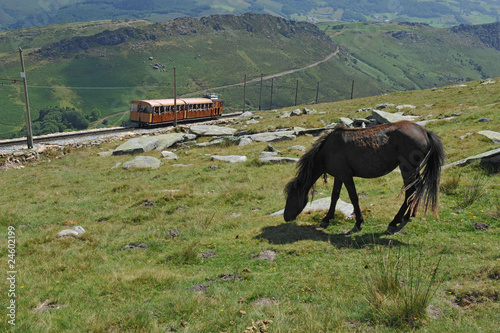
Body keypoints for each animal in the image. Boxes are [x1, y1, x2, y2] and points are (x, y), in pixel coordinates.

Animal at [284, 120, 444, 232]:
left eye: (292, 196)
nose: (286, 217)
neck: (328, 151)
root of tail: (424, 131)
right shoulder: (339, 176)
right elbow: (334, 197)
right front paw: (327, 219)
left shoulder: (346, 176)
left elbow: (354, 197)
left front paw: (358, 222)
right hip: (413, 170)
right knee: (417, 188)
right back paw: (409, 215)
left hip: (407, 169)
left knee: (410, 191)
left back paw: (394, 222)